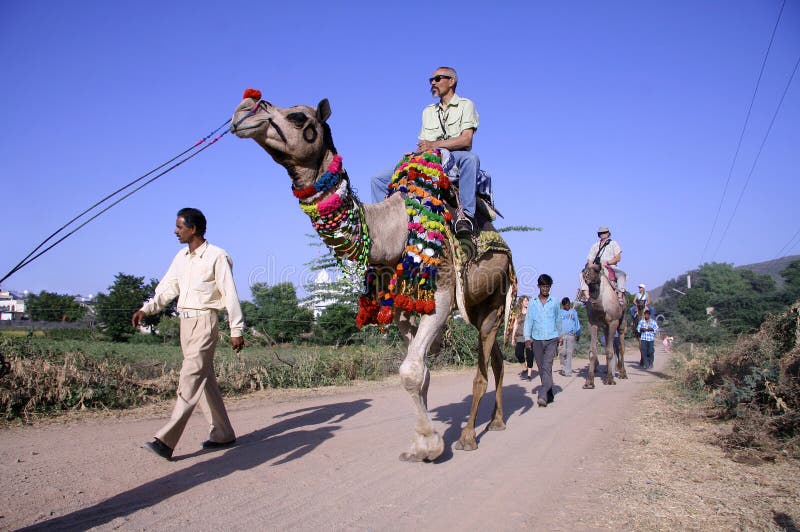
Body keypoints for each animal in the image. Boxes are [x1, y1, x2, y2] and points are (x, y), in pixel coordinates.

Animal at [230, 91, 520, 462]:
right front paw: (419, 444)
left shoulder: (440, 296)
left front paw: (430, 444)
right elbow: (422, 372)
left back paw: (469, 436)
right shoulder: (401, 309)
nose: (243, 110)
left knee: (482, 369)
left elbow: (410, 371)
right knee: (496, 358)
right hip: (478, 305)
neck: (394, 230)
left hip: (496, 298)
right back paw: (496, 421)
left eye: (297, 116)